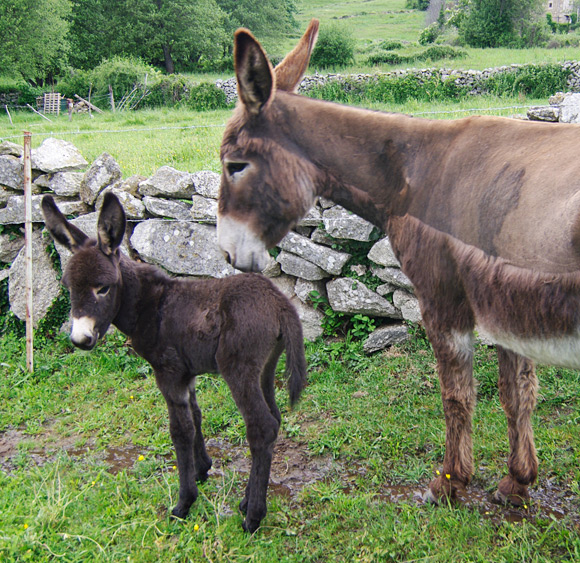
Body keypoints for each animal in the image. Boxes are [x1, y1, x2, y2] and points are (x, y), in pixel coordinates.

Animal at [42, 194, 308, 532]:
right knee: (274, 419)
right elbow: (196, 417)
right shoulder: (187, 374)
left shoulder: (168, 373)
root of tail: (279, 302)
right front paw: (202, 469)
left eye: (102, 288)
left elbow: (180, 431)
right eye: (68, 287)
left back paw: (252, 518)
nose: (80, 339)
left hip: (239, 370)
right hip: (265, 368)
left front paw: (184, 503)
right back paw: (247, 500)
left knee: (261, 427)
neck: (149, 305)